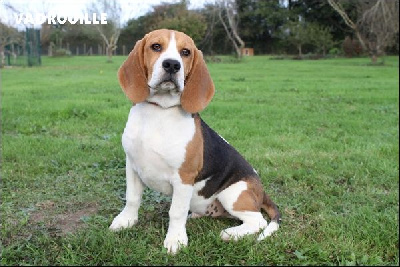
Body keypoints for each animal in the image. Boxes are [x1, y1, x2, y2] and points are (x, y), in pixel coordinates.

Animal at [108, 29, 280, 255]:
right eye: (156, 46)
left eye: (185, 52)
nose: (172, 65)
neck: (159, 111)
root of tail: (261, 191)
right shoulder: (132, 165)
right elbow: (132, 198)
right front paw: (125, 221)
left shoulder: (184, 177)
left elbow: (176, 211)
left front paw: (175, 240)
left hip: (233, 194)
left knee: (258, 221)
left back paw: (231, 234)